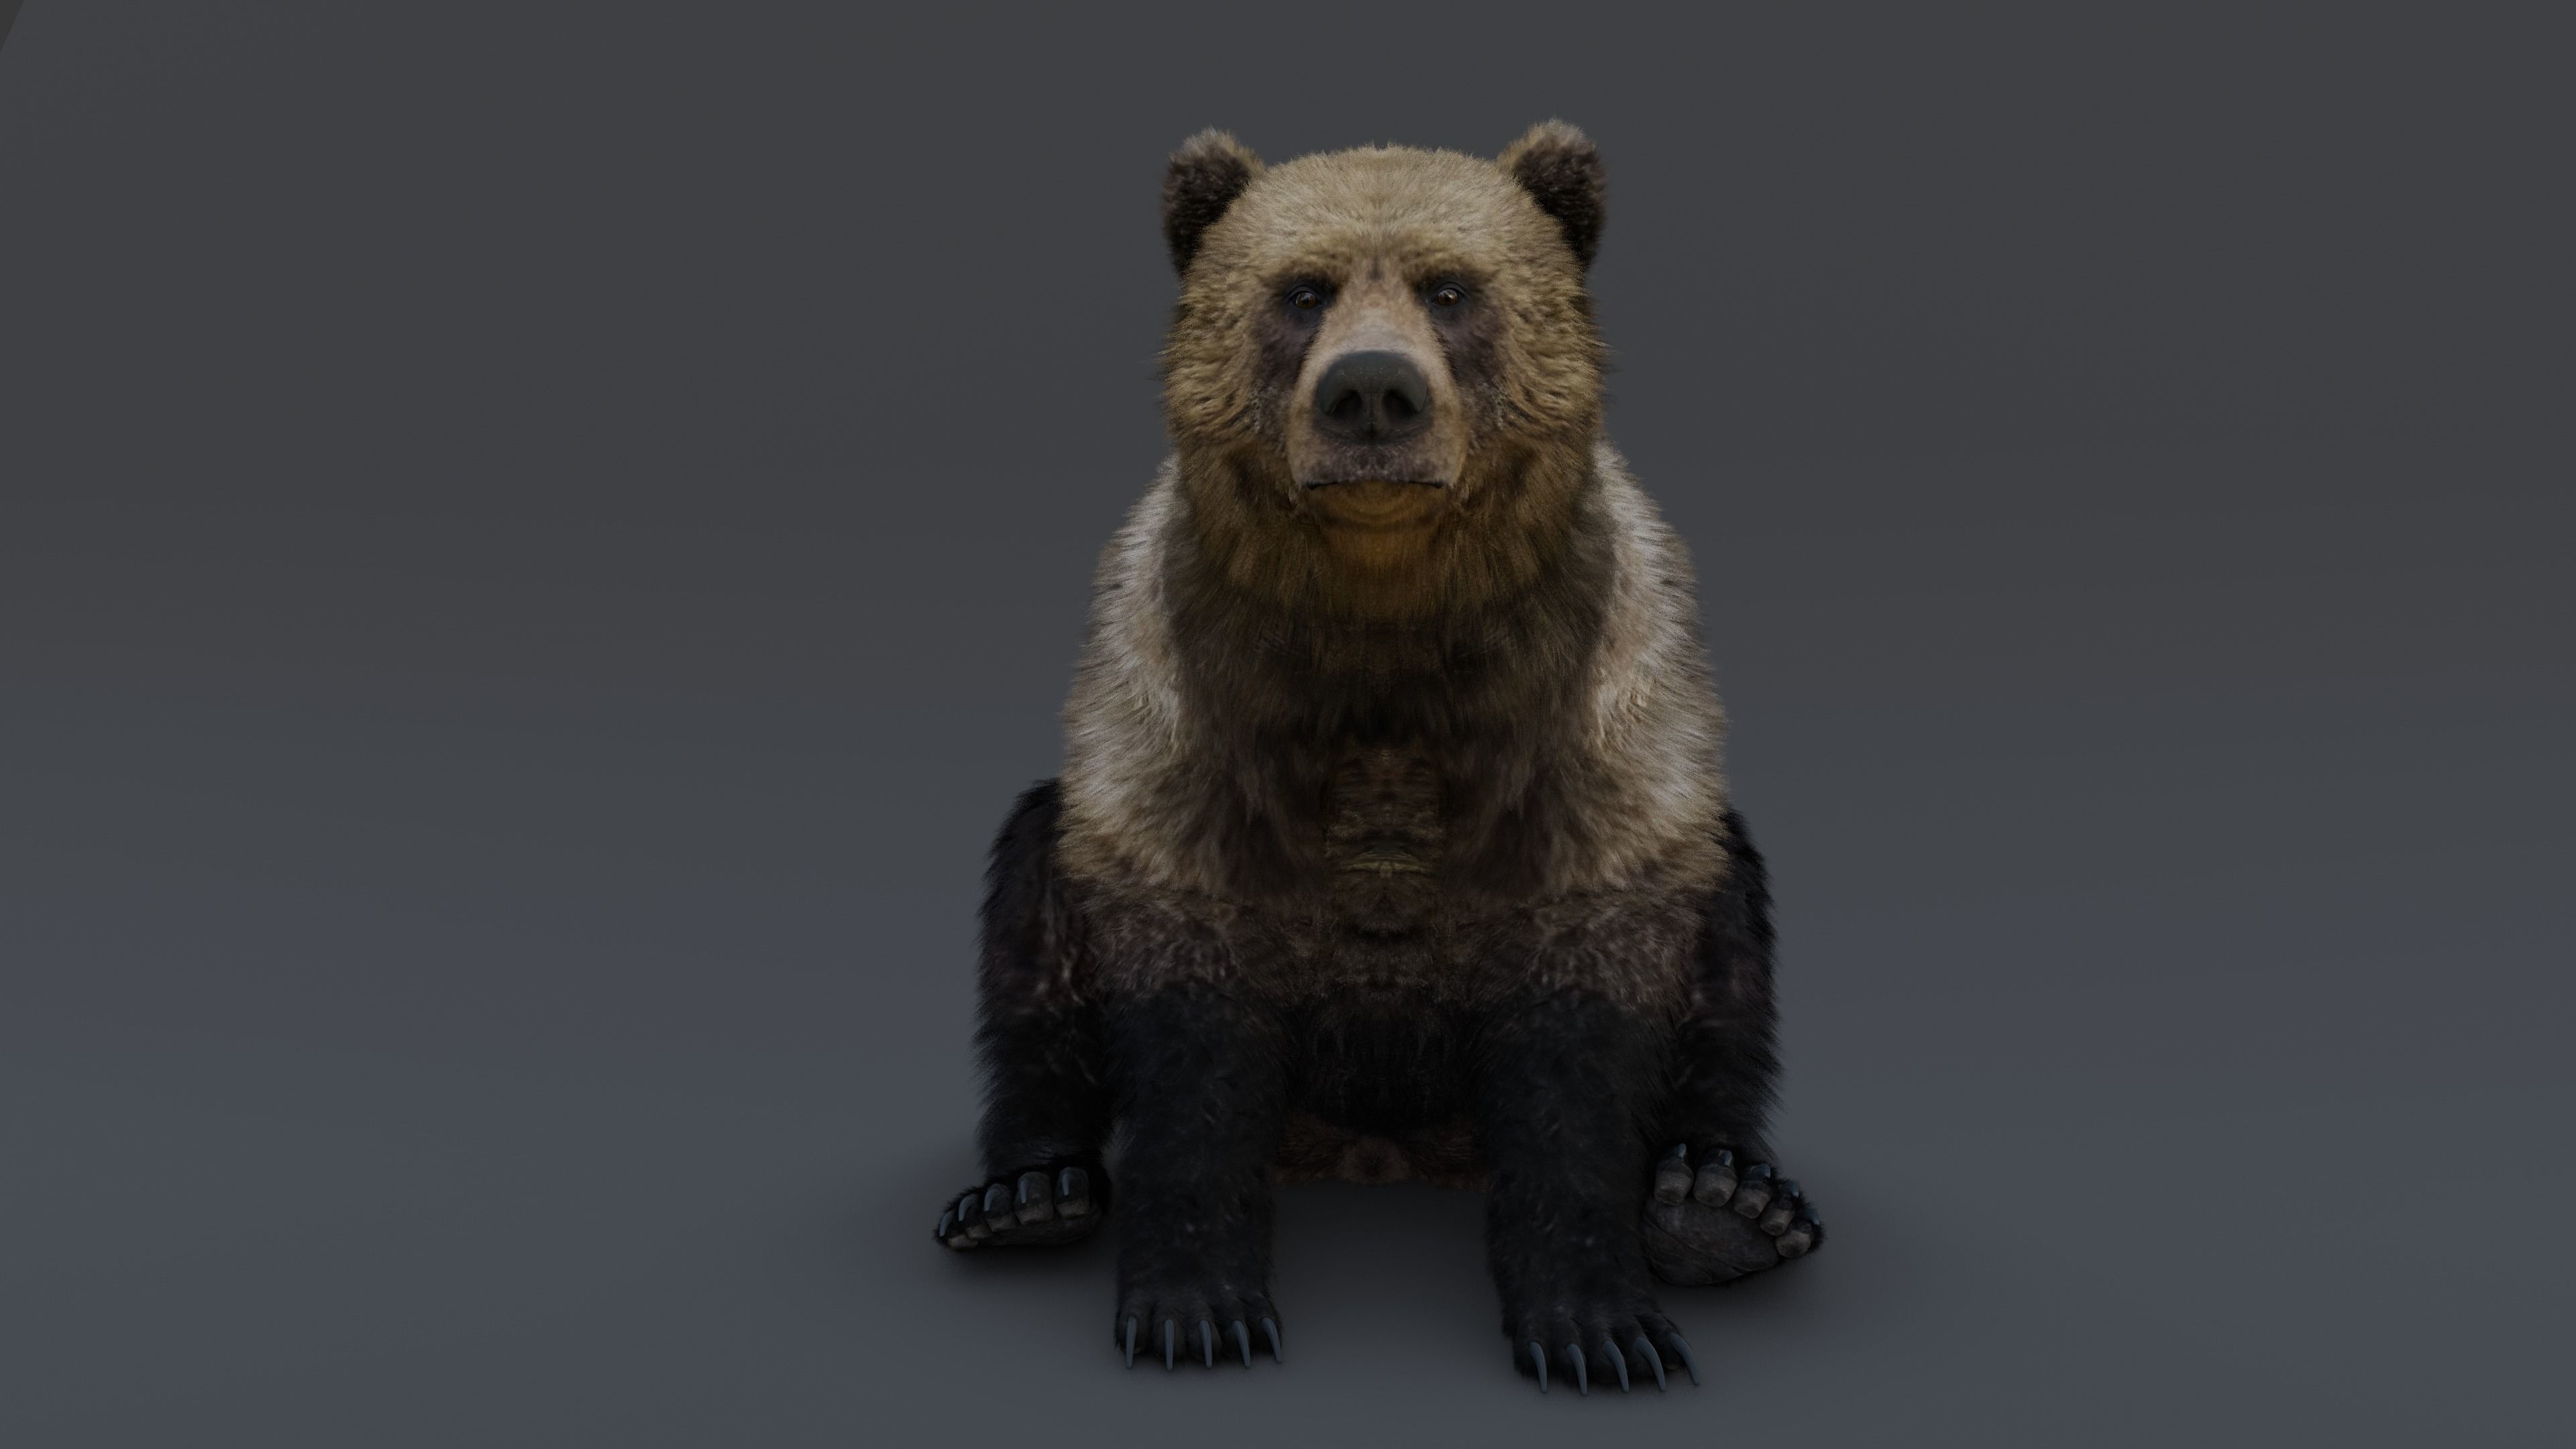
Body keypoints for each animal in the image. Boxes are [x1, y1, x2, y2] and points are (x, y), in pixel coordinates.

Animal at [931, 121, 1824, 1395]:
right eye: (1303, 293)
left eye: (1451, 290)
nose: (1371, 391)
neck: (1383, 621)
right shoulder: (1192, 715)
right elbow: (1190, 1028)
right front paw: (1197, 1307)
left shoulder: (1584, 721)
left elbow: (1585, 1023)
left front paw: (1600, 1323)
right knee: (1033, 900)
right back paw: (1027, 1192)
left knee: (1729, 927)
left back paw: (1725, 1199)